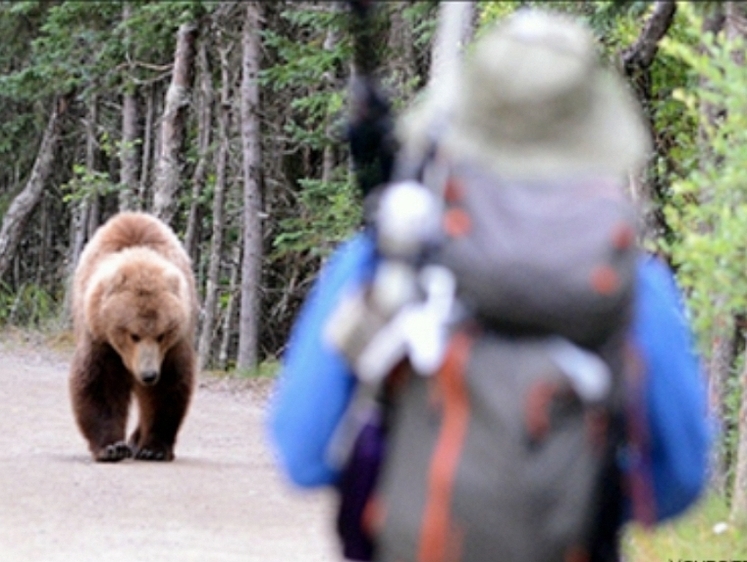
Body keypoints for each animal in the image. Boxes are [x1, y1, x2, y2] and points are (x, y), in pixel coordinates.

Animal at [69, 210, 199, 460]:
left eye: (162, 334)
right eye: (133, 335)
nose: (148, 375)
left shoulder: (172, 347)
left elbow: (166, 387)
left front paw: (154, 448)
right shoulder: (100, 337)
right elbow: (100, 383)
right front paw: (111, 447)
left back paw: (137, 440)